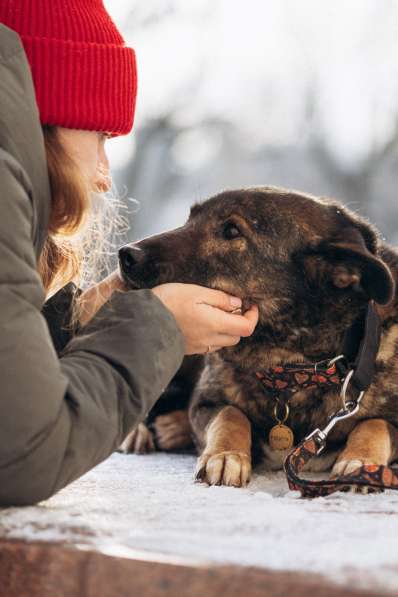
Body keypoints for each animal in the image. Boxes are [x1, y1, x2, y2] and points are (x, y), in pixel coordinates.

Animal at [119, 189, 398, 486]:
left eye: (231, 230)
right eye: (190, 219)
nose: (126, 255)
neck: (291, 366)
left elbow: (374, 423)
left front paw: (361, 461)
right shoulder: (205, 403)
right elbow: (230, 414)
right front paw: (226, 455)